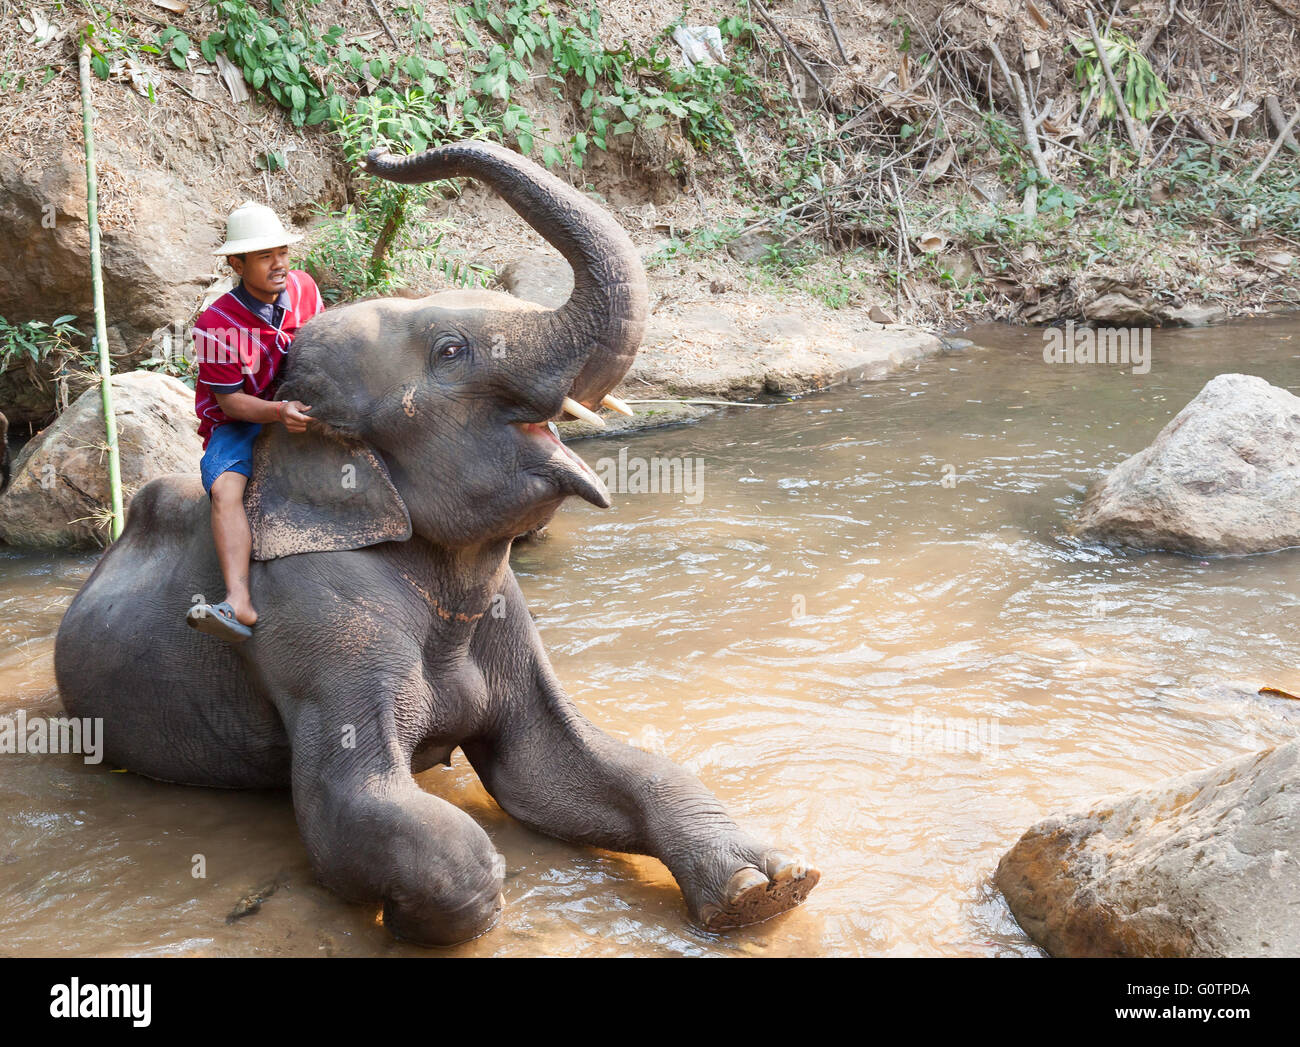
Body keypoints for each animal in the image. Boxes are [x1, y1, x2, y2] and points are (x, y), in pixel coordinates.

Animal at [54, 139, 819, 946]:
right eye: (452, 351)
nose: (378, 151)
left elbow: (554, 765)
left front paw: (767, 886)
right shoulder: (312, 620)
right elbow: (357, 810)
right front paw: (418, 916)